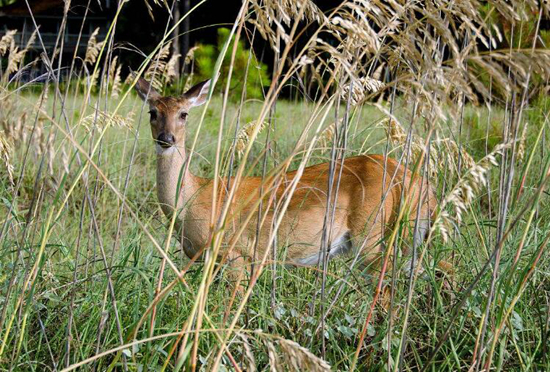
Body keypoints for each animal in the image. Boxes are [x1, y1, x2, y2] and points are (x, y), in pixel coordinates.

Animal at [135, 77, 440, 294]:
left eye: (184, 114)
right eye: (152, 112)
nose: (166, 138)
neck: (192, 201)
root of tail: (416, 182)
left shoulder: (236, 255)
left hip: (372, 234)